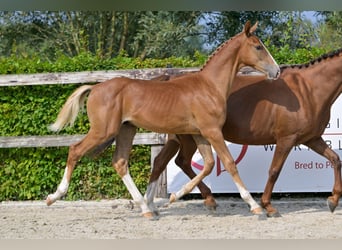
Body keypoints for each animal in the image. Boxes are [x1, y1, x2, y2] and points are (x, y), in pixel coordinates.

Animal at [46, 21, 280, 217]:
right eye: (258, 47)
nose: (277, 71)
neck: (209, 86)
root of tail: (95, 88)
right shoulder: (212, 131)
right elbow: (229, 163)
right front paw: (255, 206)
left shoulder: (199, 133)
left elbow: (209, 164)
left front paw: (178, 195)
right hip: (103, 130)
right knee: (75, 150)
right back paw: (54, 196)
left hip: (126, 129)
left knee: (120, 162)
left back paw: (146, 208)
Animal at [146, 48, 342, 217]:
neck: (308, 90)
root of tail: (170, 78)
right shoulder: (286, 139)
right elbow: (274, 171)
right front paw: (267, 206)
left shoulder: (312, 139)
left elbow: (335, 159)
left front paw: (332, 200)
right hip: (189, 137)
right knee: (181, 161)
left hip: (179, 137)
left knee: (165, 162)